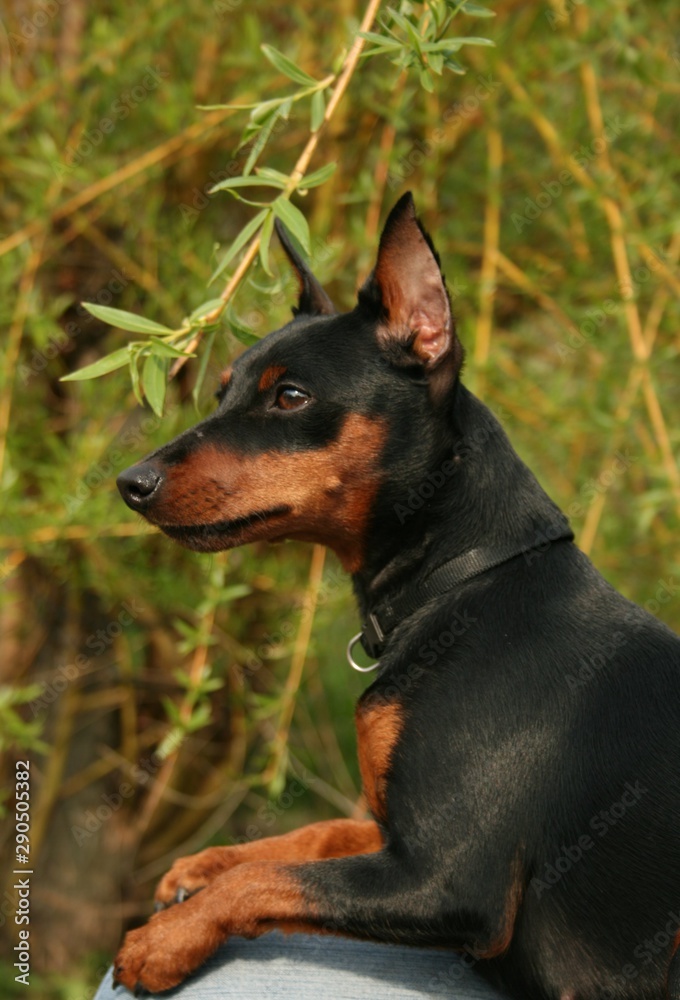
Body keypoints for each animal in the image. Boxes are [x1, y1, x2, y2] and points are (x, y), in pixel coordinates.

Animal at [114, 191, 680, 996]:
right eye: (222, 392)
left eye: (290, 396)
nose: (130, 482)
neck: (465, 579)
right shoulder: (400, 840)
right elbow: (308, 838)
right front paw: (202, 865)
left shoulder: (449, 883)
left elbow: (269, 881)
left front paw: (165, 938)